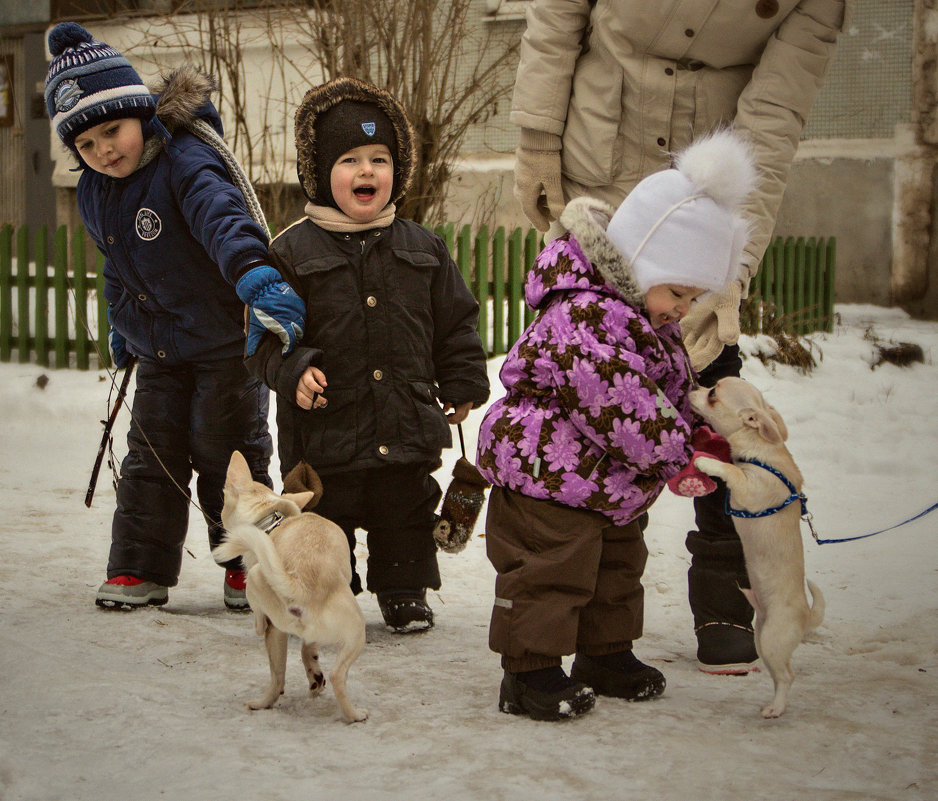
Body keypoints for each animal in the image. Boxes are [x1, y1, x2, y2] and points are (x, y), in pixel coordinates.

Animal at [214, 454, 368, 720]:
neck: (271, 522)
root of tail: (303, 585)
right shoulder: (307, 637)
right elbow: (308, 651)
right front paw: (314, 673)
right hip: (355, 633)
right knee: (332, 675)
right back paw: (351, 713)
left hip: (262, 592)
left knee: (277, 668)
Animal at [688, 376, 820, 720]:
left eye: (712, 394)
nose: (695, 385)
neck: (760, 448)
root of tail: (805, 617)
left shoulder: (748, 488)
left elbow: (731, 470)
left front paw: (707, 461)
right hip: (762, 639)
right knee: (778, 674)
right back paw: (774, 703)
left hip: (773, 638)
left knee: (788, 675)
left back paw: (776, 709)